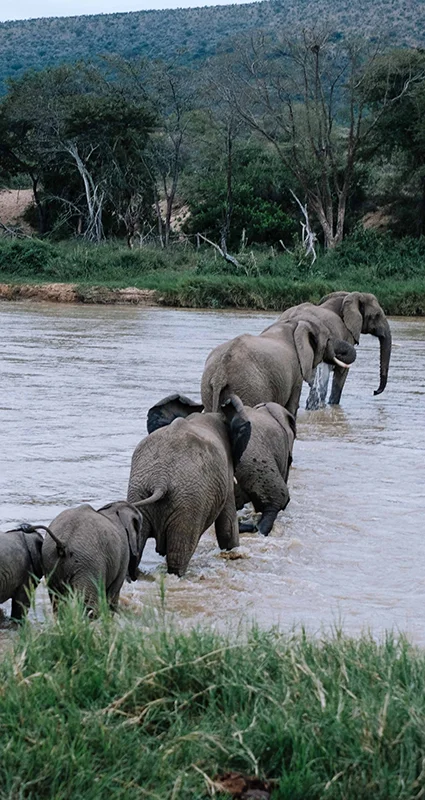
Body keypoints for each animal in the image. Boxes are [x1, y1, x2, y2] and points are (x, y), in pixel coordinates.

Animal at [127, 393, 251, 577]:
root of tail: (160, 479)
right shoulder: (227, 472)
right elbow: (227, 526)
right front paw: (233, 551)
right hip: (189, 502)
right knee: (180, 553)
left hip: (140, 490)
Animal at [201, 317, 356, 417]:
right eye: (329, 338)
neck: (297, 324)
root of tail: (221, 371)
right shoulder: (296, 372)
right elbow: (292, 406)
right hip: (249, 388)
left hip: (209, 387)